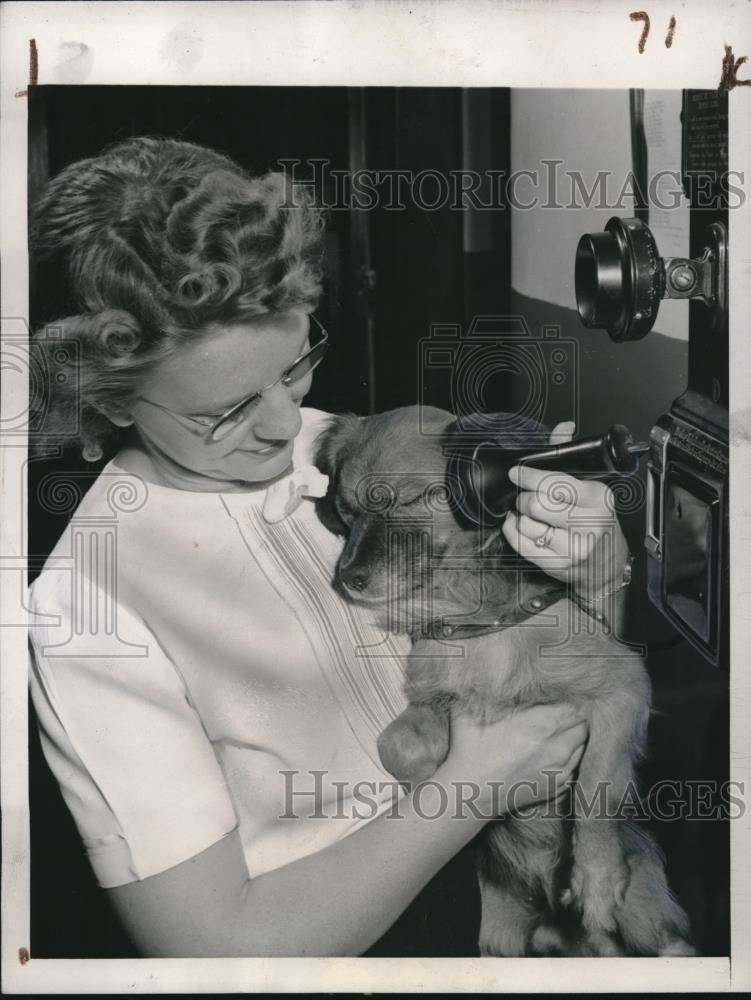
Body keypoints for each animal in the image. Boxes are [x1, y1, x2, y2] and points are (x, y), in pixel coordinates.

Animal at [314, 406, 696, 960]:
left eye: (407, 499)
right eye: (345, 510)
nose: (348, 579)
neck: (472, 615)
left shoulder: (623, 688)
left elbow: (597, 785)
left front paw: (596, 877)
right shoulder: (429, 693)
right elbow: (397, 744)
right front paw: (430, 770)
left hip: (648, 914)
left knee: (666, 944)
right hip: (501, 934)